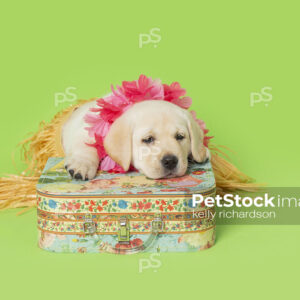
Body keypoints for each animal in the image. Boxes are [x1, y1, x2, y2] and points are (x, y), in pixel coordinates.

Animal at [62, 101, 209, 180]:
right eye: (148, 139)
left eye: (180, 136)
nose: (170, 161)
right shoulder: (87, 130)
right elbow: (87, 146)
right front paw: (82, 164)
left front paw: (200, 151)